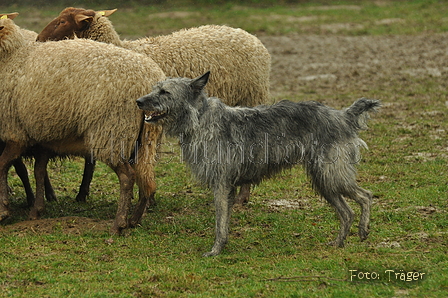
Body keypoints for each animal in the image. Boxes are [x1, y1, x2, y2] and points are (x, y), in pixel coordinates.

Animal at [0, 16, 166, 233]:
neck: (10, 59)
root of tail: (149, 79)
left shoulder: (15, 133)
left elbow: (3, 165)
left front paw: (4, 210)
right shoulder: (41, 135)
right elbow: (38, 171)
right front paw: (36, 209)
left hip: (112, 130)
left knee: (128, 177)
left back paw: (119, 225)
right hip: (145, 136)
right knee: (145, 176)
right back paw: (134, 219)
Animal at [136, 72, 378, 256]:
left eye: (165, 92)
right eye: (155, 88)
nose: (138, 101)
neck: (200, 118)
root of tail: (343, 115)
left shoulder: (221, 185)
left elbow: (219, 224)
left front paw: (215, 251)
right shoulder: (228, 188)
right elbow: (224, 222)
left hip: (332, 175)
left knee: (366, 196)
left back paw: (363, 229)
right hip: (324, 181)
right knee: (347, 212)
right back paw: (339, 242)